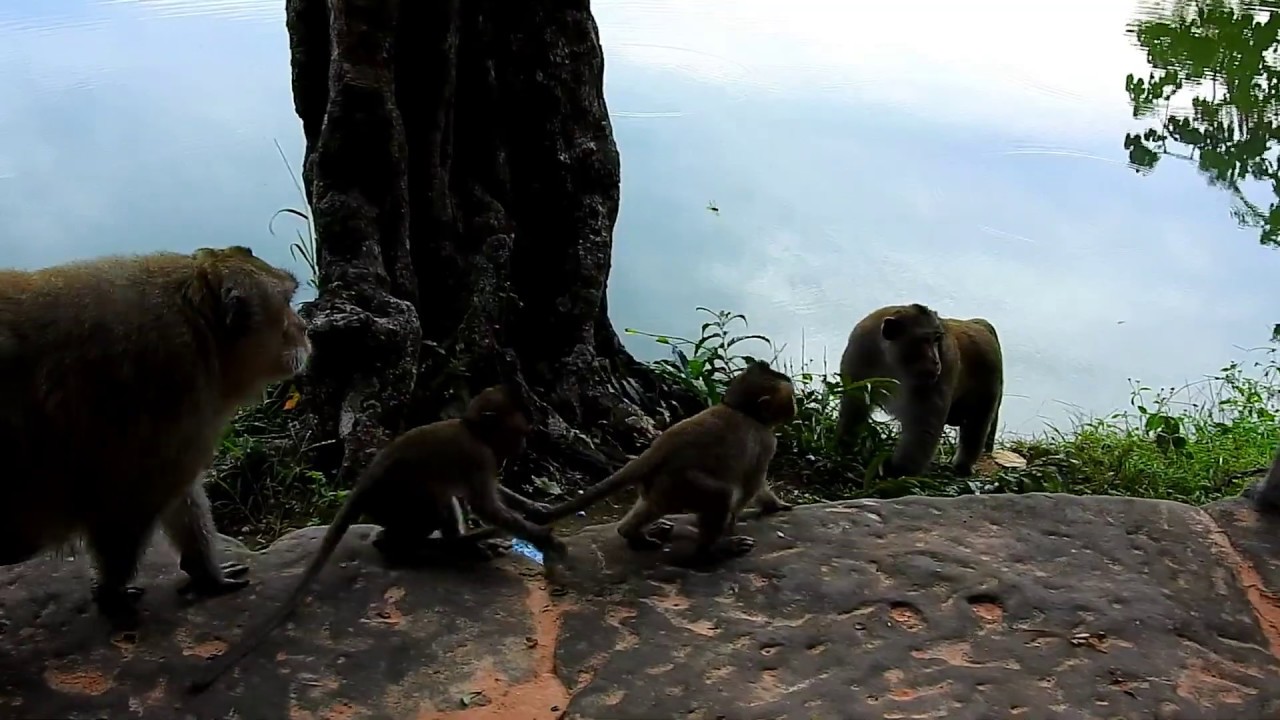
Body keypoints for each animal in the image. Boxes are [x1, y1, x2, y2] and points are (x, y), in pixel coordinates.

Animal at [0, 245, 312, 630]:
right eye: (286, 301)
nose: (305, 328)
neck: (199, 327)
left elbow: (180, 495)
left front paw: (206, 574)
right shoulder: (168, 392)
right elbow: (128, 504)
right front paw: (112, 592)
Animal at [185, 384, 569, 695]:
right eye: (519, 432)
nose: (523, 446)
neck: (473, 430)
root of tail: (364, 482)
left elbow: (491, 496)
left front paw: (536, 507)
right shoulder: (478, 455)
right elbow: (485, 505)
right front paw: (543, 537)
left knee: (443, 499)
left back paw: (461, 543)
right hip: (395, 501)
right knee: (429, 504)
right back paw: (421, 545)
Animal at [529, 360, 797, 567]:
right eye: (791, 399)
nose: (795, 409)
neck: (742, 410)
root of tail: (656, 451)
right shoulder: (766, 441)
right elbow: (752, 485)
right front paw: (770, 507)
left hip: (661, 486)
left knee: (652, 505)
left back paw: (631, 533)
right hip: (682, 483)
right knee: (720, 496)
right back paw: (712, 550)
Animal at [833, 303, 1003, 479]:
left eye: (936, 340)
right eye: (924, 340)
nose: (936, 361)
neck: (891, 361)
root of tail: (979, 325)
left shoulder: (944, 366)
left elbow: (923, 425)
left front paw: (898, 471)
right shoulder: (858, 352)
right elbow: (855, 403)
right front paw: (844, 449)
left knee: (977, 423)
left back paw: (962, 465)